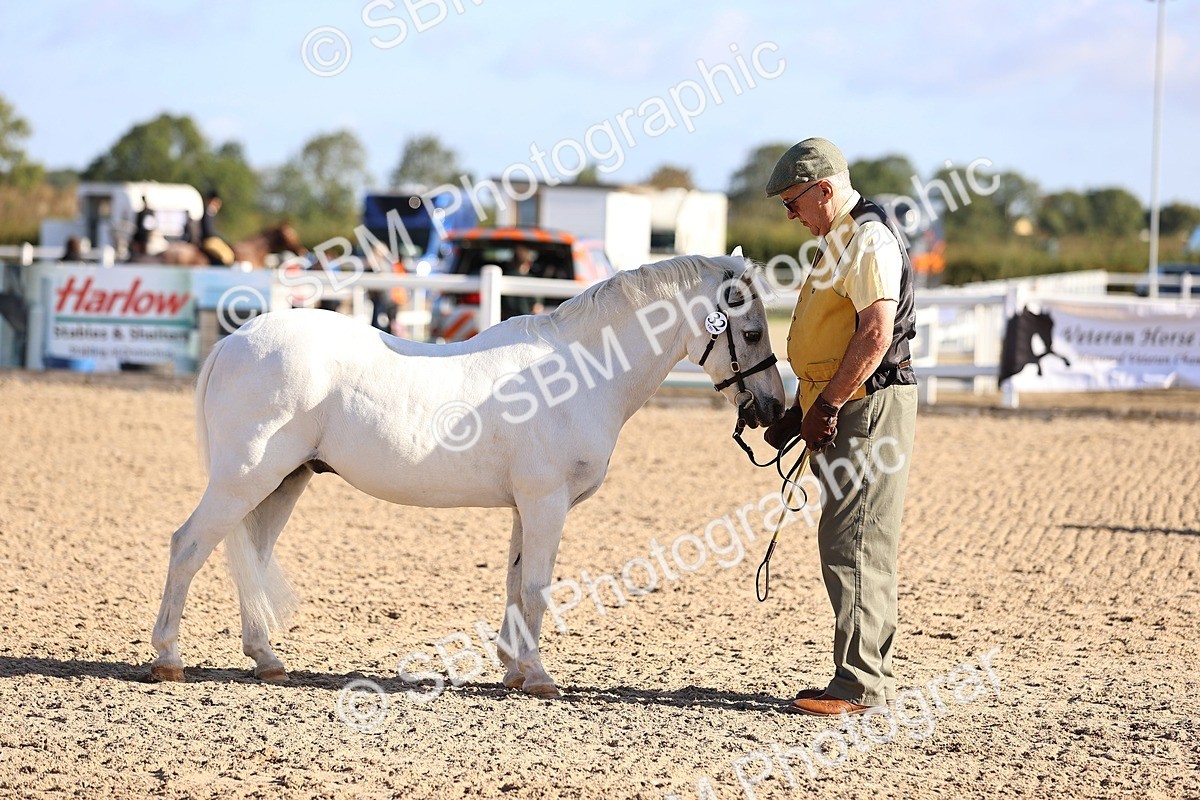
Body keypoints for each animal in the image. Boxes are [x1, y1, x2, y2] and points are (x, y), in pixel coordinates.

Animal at [148, 253, 786, 698]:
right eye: (752, 332)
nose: (775, 410)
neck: (579, 373)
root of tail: (234, 340)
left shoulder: (526, 506)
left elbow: (514, 583)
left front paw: (513, 669)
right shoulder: (546, 502)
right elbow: (537, 587)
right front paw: (539, 677)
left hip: (285, 481)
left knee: (250, 558)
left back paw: (267, 660)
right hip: (244, 480)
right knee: (188, 547)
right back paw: (168, 659)